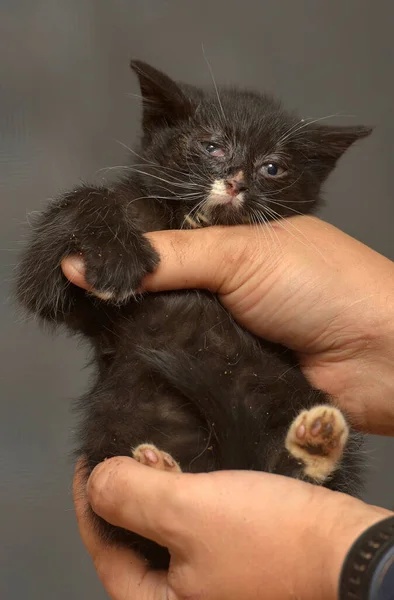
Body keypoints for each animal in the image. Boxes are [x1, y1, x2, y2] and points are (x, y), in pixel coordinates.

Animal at [16, 59, 372, 568]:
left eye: (273, 168)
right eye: (211, 145)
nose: (238, 180)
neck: (191, 225)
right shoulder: (69, 296)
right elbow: (77, 212)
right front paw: (119, 257)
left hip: (290, 391)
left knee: (295, 475)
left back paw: (314, 443)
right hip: (113, 424)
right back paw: (163, 468)